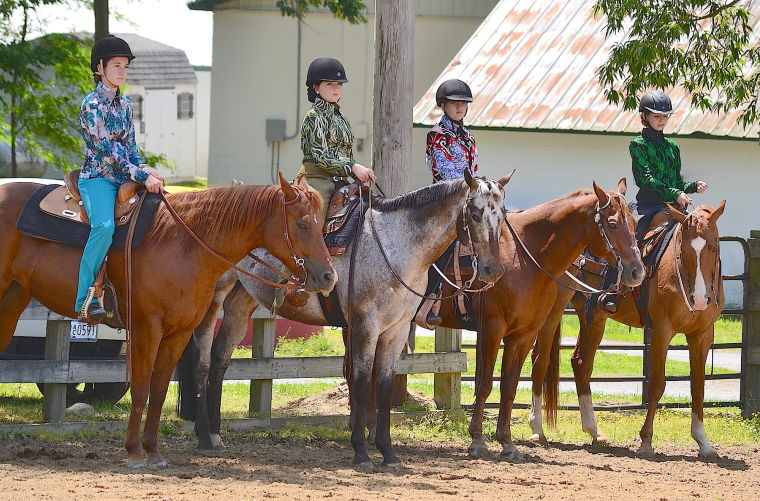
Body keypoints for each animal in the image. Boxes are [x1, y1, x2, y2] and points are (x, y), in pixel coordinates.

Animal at [0, 173, 337, 468]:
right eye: (302, 223)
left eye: (321, 223)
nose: (328, 277)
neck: (183, 243)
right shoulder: (147, 328)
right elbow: (141, 389)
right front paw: (134, 453)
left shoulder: (179, 333)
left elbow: (159, 390)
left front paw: (153, 452)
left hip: (13, 299)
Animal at [180, 171, 512, 471]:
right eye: (475, 212)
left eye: (502, 215)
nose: (494, 270)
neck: (396, 246)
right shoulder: (366, 325)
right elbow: (363, 381)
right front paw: (362, 454)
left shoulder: (396, 330)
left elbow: (384, 385)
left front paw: (389, 454)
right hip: (213, 298)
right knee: (203, 358)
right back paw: (204, 436)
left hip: (242, 300)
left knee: (221, 357)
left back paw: (215, 433)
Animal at [439, 179, 645, 462]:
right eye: (612, 224)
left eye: (634, 223)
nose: (638, 271)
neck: (522, 257)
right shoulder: (491, 329)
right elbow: (484, 384)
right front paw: (478, 441)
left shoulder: (523, 333)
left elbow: (510, 385)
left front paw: (507, 443)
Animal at [529, 202, 726, 458]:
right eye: (683, 250)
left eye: (714, 247)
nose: (700, 299)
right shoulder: (662, 331)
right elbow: (657, 385)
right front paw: (646, 441)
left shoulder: (702, 335)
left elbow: (698, 386)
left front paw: (703, 442)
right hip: (554, 308)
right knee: (540, 360)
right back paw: (537, 429)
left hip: (593, 315)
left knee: (581, 363)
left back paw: (594, 431)